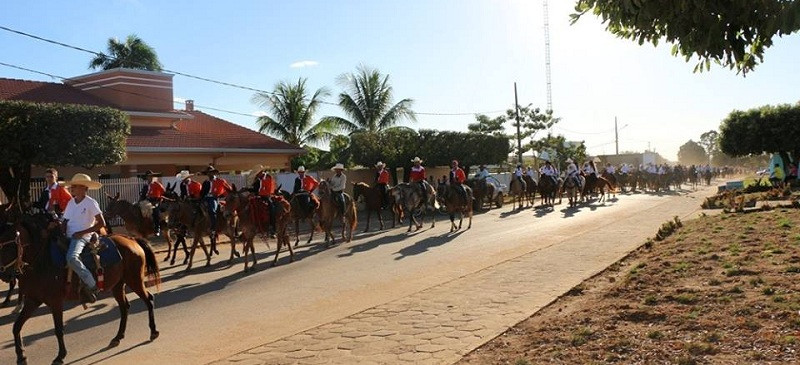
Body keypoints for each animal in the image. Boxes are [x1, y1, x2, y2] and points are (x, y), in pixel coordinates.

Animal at [3, 213, 161, 364]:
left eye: (9, 246)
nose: (4, 275)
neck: (41, 261)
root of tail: (131, 239)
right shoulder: (33, 300)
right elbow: (16, 326)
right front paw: (21, 356)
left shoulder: (56, 302)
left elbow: (58, 329)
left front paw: (60, 356)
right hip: (117, 284)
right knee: (124, 307)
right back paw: (117, 337)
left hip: (134, 280)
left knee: (148, 299)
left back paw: (153, 331)